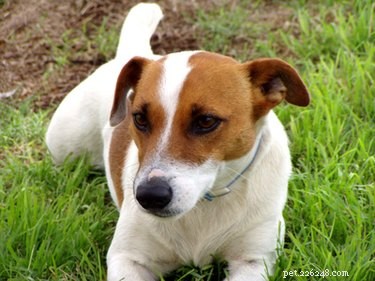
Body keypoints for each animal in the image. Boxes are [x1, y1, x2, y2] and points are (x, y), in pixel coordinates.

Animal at [45, 2, 310, 280]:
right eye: (139, 118)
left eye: (206, 121)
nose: (149, 196)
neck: (205, 204)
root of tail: (132, 52)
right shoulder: (127, 259)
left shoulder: (254, 260)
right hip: (64, 145)